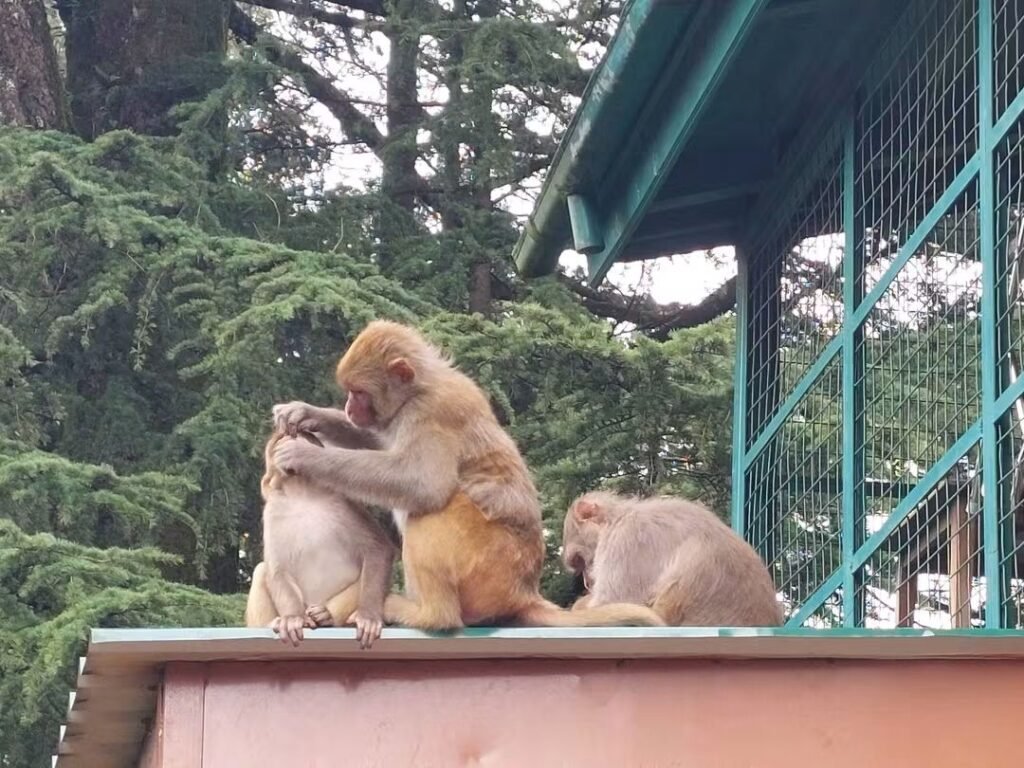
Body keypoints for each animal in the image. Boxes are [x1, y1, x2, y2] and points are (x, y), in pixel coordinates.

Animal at [245, 409, 396, 648]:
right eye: (280, 439)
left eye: (301, 434)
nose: (289, 437)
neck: (303, 494)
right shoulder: (272, 513)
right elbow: (277, 569)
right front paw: (292, 618)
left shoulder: (343, 503)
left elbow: (378, 549)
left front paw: (369, 617)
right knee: (262, 570)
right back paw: (276, 621)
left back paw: (326, 615)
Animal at [271, 320, 664, 630]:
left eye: (359, 393)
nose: (350, 407)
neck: (421, 387)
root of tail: (523, 592)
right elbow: (379, 441)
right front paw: (307, 414)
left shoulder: (430, 412)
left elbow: (422, 484)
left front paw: (306, 456)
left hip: (484, 568)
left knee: (428, 511)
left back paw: (429, 615)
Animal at [562, 491, 784, 627]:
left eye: (579, 561)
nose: (587, 581)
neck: (617, 519)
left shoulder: (625, 541)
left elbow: (614, 601)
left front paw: (577, 606)